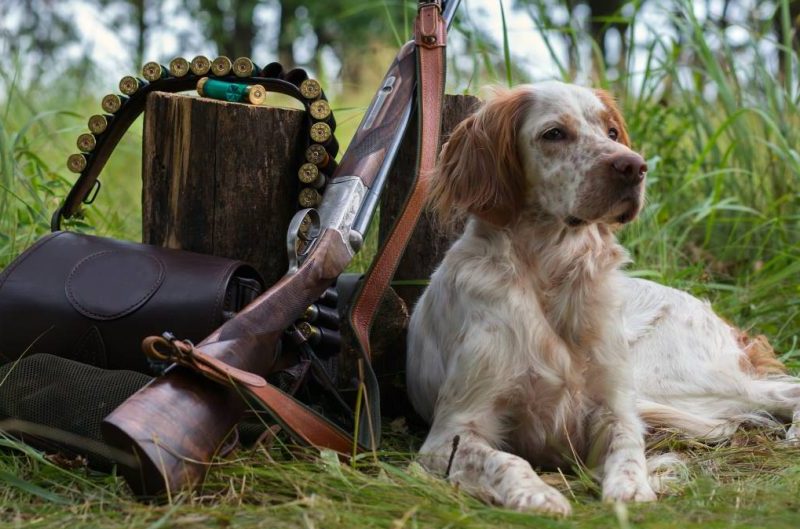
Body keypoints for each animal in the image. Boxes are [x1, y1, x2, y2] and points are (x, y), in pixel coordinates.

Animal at [410, 82, 796, 516]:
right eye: (554, 134)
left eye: (611, 132)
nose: (635, 166)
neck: (553, 274)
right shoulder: (453, 430)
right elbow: (504, 459)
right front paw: (537, 494)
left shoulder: (614, 405)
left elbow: (627, 446)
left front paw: (632, 488)